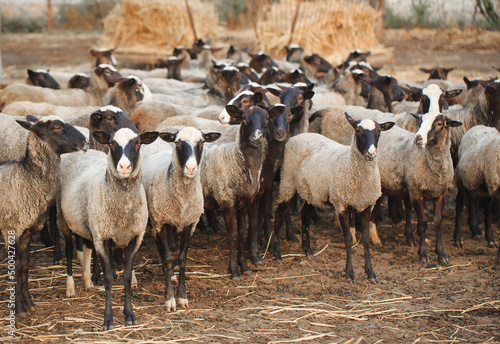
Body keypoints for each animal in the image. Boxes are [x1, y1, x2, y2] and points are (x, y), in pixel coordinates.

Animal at [0, 115, 87, 318]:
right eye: (56, 128)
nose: (86, 142)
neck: (25, 178)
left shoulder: (27, 232)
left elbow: (24, 266)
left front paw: (29, 304)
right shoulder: (12, 230)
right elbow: (15, 267)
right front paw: (19, 309)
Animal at [57, 127, 159, 330]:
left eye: (138, 143)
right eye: (111, 143)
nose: (124, 167)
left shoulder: (135, 237)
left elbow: (126, 276)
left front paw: (130, 315)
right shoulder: (101, 237)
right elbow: (108, 279)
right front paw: (108, 319)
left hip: (91, 223)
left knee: (88, 248)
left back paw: (87, 279)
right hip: (64, 218)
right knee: (70, 250)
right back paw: (70, 287)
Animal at [141, 126, 219, 312]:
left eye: (202, 142)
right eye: (177, 142)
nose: (190, 168)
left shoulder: (190, 224)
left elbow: (182, 259)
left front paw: (182, 297)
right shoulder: (159, 224)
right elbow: (168, 259)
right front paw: (170, 299)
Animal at [199, 103, 286, 278]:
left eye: (267, 117)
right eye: (244, 118)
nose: (257, 136)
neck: (235, 159)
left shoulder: (245, 203)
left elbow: (243, 233)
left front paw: (245, 266)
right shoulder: (227, 202)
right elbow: (232, 236)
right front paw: (234, 270)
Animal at [274, 113, 394, 282]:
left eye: (378, 131)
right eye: (358, 131)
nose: (371, 154)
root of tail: (296, 137)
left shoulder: (366, 206)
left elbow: (365, 239)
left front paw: (371, 273)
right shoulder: (341, 204)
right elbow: (348, 238)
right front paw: (349, 274)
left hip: (312, 190)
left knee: (305, 216)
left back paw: (308, 252)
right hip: (287, 181)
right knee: (279, 215)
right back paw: (277, 255)